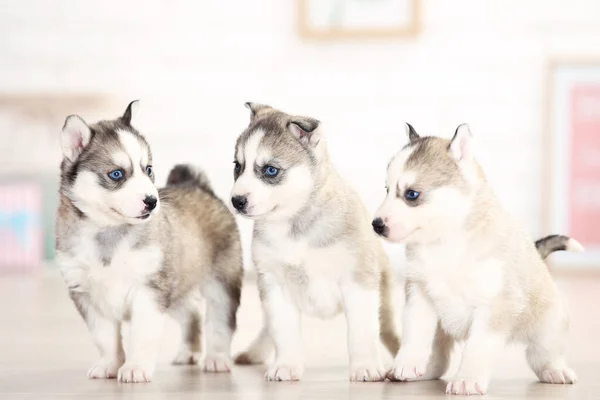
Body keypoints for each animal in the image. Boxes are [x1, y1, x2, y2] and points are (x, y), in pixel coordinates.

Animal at [55, 101, 243, 382]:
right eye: (116, 174)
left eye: (149, 169)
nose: (152, 201)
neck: (109, 231)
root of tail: (197, 185)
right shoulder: (87, 294)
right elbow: (104, 337)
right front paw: (109, 365)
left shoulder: (148, 291)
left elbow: (142, 336)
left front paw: (135, 367)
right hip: (175, 285)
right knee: (192, 313)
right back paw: (188, 351)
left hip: (219, 283)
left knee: (221, 321)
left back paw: (217, 359)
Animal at [230, 103, 404, 382]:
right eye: (238, 166)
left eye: (270, 170)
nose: (236, 201)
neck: (295, 223)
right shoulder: (274, 284)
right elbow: (283, 330)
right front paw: (286, 365)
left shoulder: (357, 282)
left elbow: (361, 332)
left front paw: (365, 366)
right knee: (268, 327)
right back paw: (254, 352)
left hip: (383, 299)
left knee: (387, 330)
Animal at [372, 123, 584, 396]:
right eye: (387, 190)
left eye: (412, 194)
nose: (376, 225)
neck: (445, 242)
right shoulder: (419, 294)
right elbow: (414, 332)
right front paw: (407, 362)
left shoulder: (493, 306)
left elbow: (477, 347)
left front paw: (467, 379)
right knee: (440, 360)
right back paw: (422, 369)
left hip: (549, 325)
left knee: (542, 355)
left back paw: (555, 370)